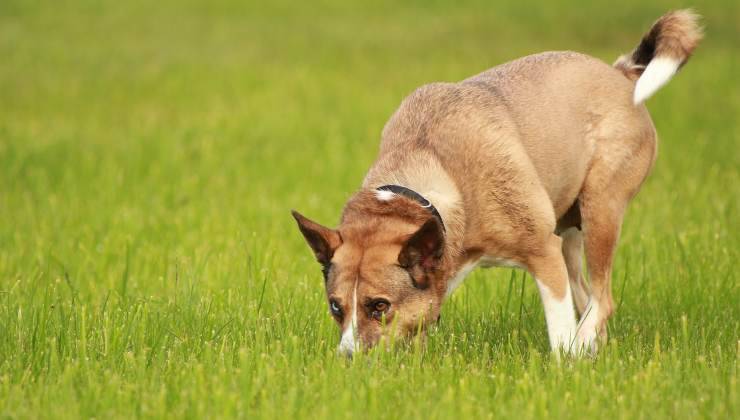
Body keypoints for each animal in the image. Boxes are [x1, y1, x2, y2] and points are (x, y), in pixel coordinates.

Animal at [292, 9, 704, 358]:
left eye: (379, 306)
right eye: (335, 307)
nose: (347, 359)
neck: (436, 172)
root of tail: (621, 72)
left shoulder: (543, 252)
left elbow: (560, 330)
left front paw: (564, 368)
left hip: (601, 211)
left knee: (602, 300)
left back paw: (583, 344)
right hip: (571, 234)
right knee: (588, 297)